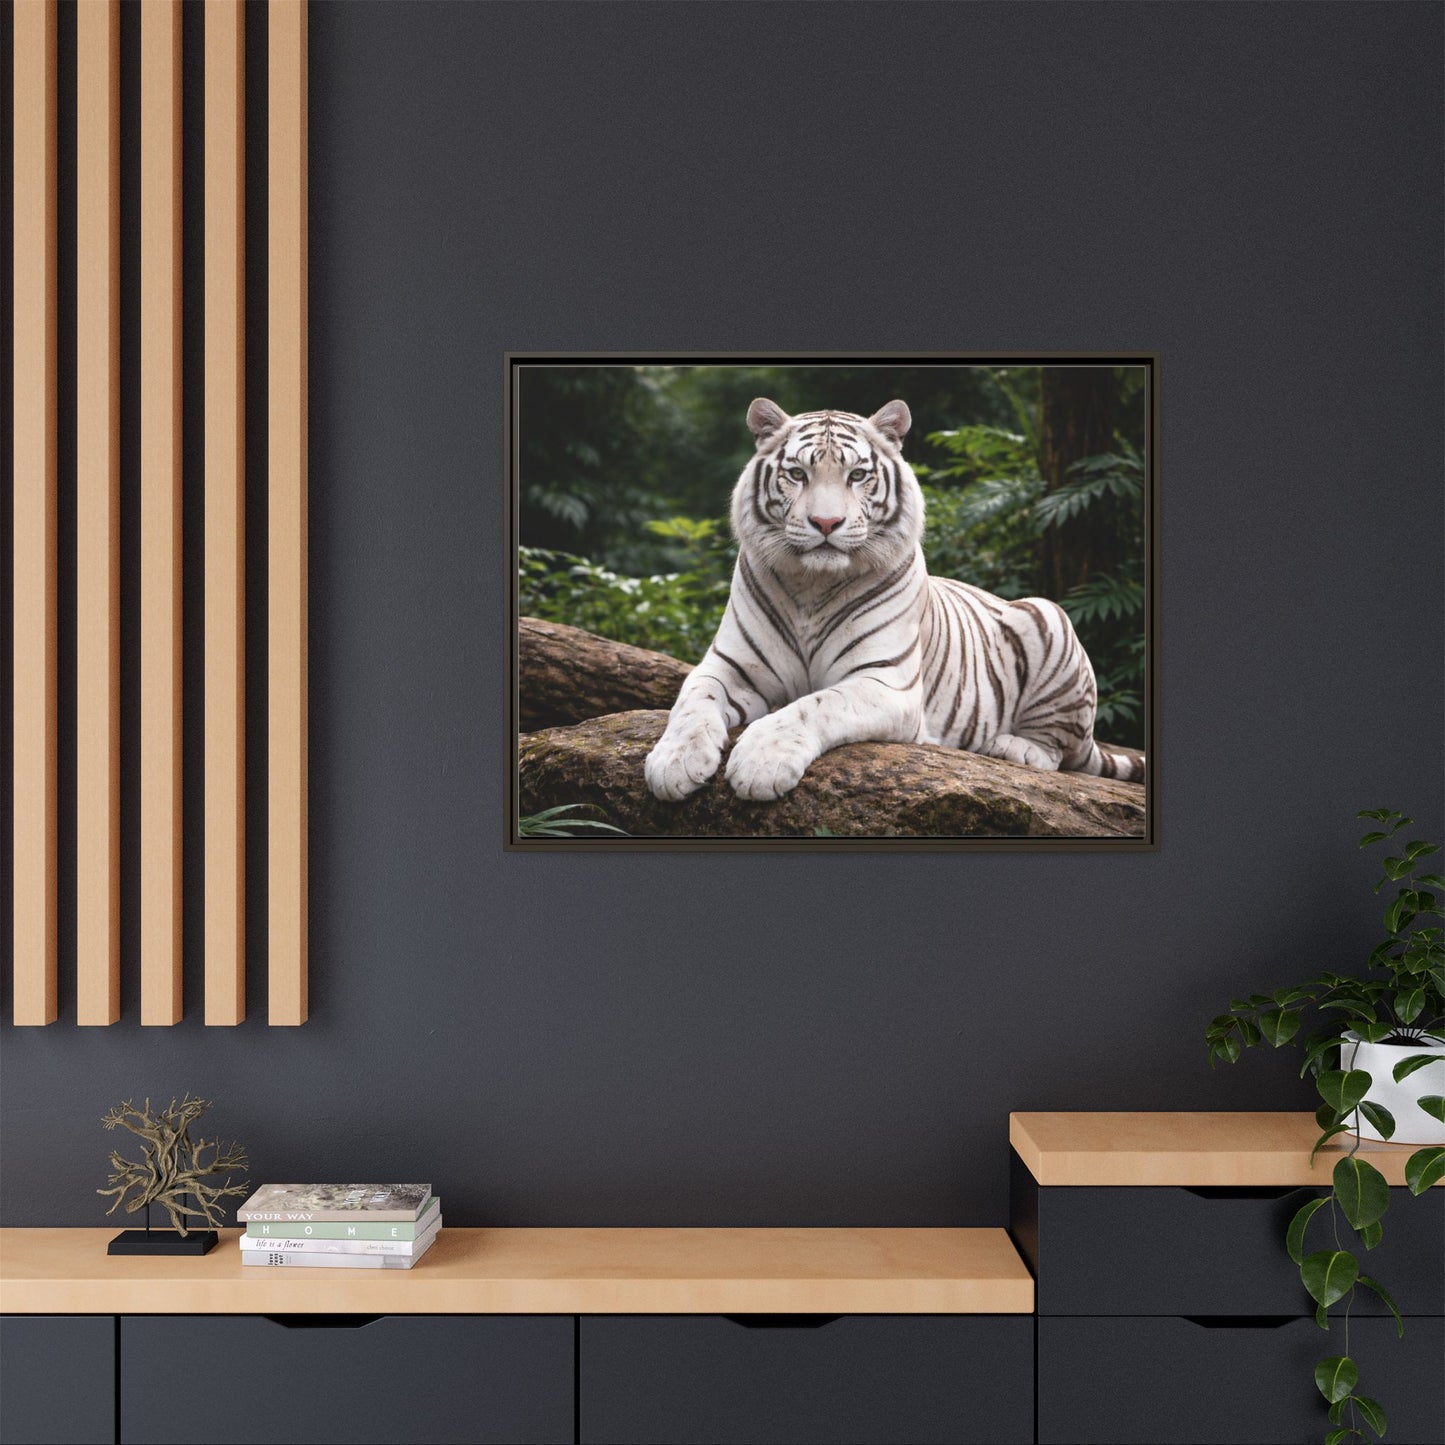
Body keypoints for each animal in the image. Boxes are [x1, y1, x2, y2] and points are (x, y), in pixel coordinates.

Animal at [643, 397, 1145, 803]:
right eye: (798, 474)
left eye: (857, 475)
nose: (826, 523)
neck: (811, 587)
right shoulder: (728, 665)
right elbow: (692, 701)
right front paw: (673, 763)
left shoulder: (884, 681)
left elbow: (813, 705)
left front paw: (760, 763)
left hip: (1048, 616)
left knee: (1060, 751)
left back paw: (1011, 747)